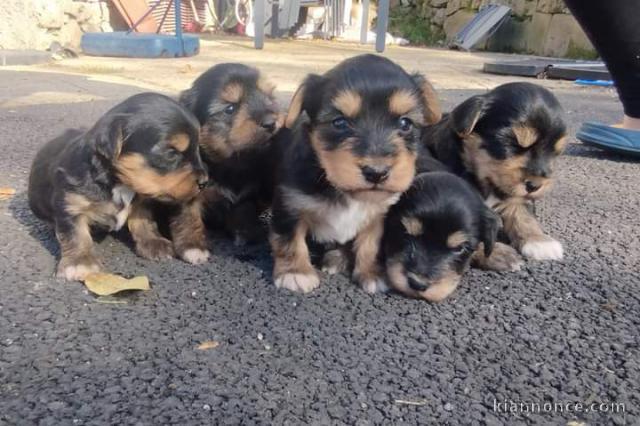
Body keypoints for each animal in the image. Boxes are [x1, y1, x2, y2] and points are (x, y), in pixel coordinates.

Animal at [28, 92, 208, 280]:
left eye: (198, 149)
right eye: (171, 153)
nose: (205, 182)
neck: (120, 183)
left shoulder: (141, 201)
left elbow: (143, 221)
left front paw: (153, 242)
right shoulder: (71, 203)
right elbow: (75, 233)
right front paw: (79, 262)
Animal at [178, 62, 282, 243]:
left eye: (269, 98)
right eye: (230, 108)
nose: (271, 122)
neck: (231, 164)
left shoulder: (247, 195)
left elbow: (243, 211)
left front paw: (246, 232)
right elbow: (190, 217)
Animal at [268, 52, 440, 292]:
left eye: (405, 123)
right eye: (339, 122)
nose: (377, 172)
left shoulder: (378, 215)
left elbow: (370, 243)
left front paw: (371, 273)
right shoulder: (290, 203)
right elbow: (289, 239)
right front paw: (296, 272)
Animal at [422, 80, 568, 260]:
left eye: (556, 153)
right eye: (512, 143)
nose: (535, 186)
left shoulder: (514, 193)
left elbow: (523, 211)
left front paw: (539, 241)